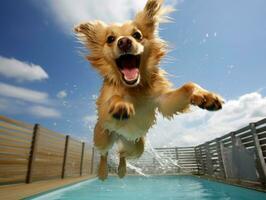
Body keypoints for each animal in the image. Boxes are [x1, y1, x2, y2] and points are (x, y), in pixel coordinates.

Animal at [74, 0, 222, 180]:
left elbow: (189, 85)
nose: (124, 41)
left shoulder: (164, 101)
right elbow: (113, 100)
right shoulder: (105, 113)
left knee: (122, 153)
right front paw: (121, 105)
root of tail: (120, 137)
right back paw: (103, 172)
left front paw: (204, 95)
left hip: (137, 147)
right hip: (103, 137)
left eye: (137, 35)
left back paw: (122, 170)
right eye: (110, 39)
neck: (135, 88)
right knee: (104, 153)